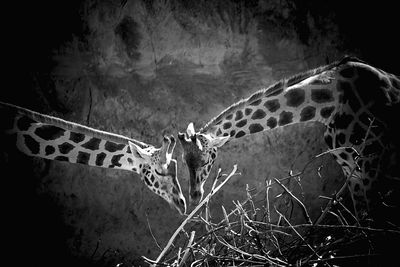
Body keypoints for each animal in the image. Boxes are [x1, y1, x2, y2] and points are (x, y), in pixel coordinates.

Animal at [179, 56, 400, 222]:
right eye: (184, 161)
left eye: (206, 161)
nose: (194, 196)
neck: (329, 104)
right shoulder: (351, 170)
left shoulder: (372, 160)